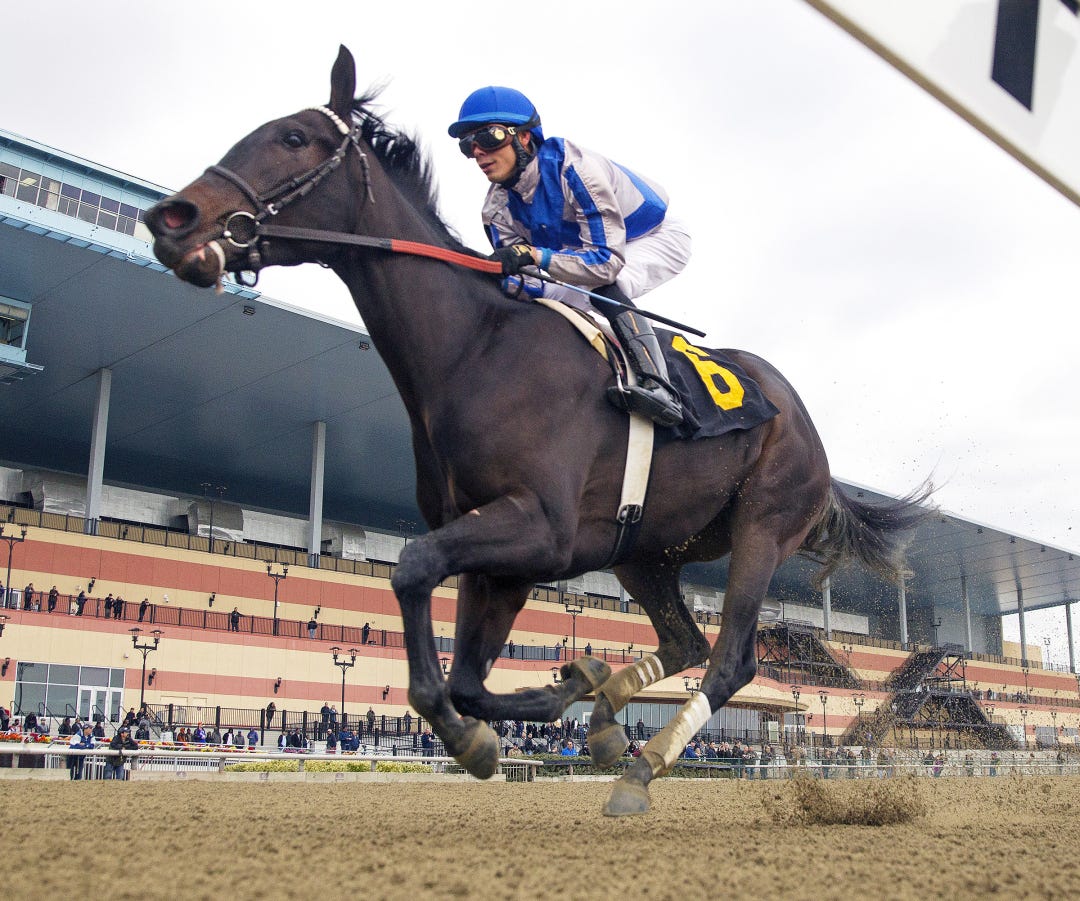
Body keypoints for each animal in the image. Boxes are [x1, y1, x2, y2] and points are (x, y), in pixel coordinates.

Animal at [146, 45, 927, 816]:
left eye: (294, 137)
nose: (172, 218)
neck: (476, 348)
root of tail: (804, 423)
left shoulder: (540, 528)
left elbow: (412, 572)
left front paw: (498, 724)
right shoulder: (502, 552)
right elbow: (464, 677)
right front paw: (560, 692)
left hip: (763, 524)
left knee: (730, 657)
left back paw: (642, 769)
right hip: (645, 550)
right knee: (684, 642)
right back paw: (609, 713)